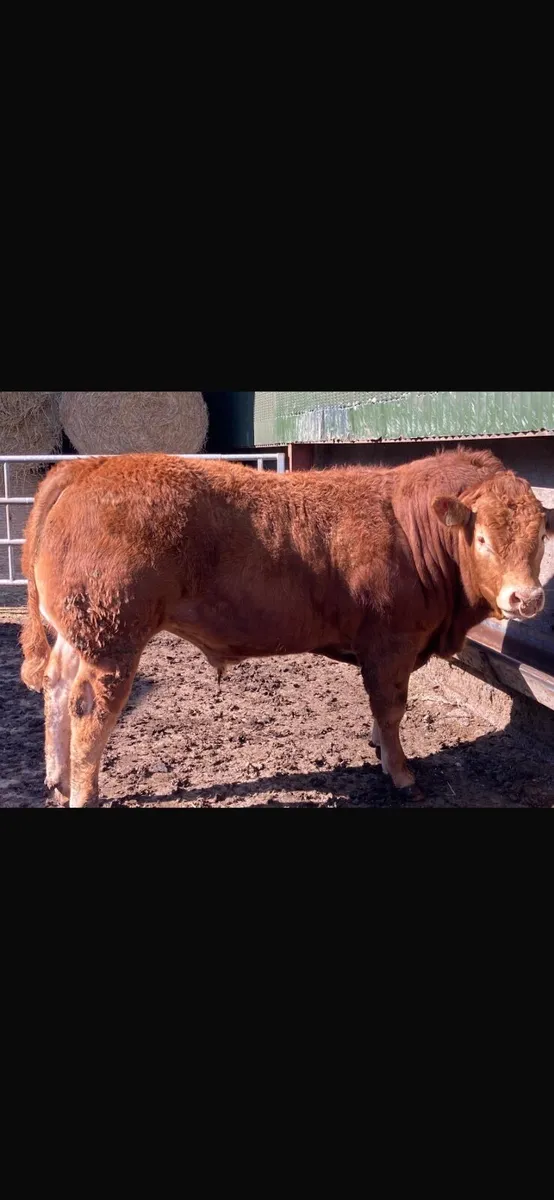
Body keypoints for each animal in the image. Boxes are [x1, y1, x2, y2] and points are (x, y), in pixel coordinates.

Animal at [20, 448, 553, 807]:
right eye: (482, 539)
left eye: (540, 539)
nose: (527, 598)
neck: (408, 525)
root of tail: (91, 466)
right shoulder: (391, 643)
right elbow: (391, 707)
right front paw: (401, 774)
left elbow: (383, 713)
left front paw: (381, 751)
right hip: (113, 639)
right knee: (89, 709)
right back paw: (84, 792)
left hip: (78, 635)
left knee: (56, 687)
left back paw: (58, 779)